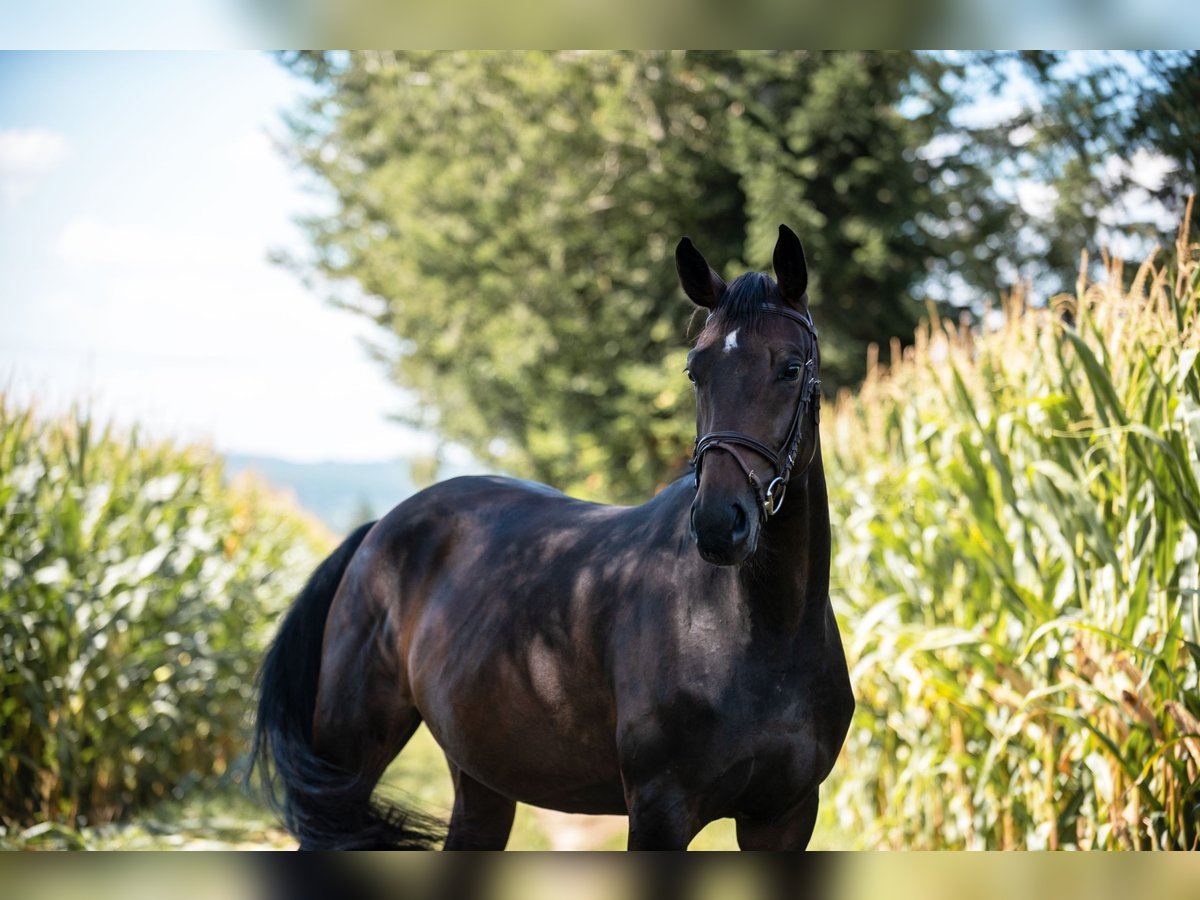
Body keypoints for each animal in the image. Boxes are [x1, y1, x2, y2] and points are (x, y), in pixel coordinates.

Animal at [250, 225, 854, 854]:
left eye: (790, 368)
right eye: (696, 370)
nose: (717, 523)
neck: (764, 635)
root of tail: (377, 534)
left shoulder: (784, 817)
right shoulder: (660, 813)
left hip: (481, 777)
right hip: (346, 765)